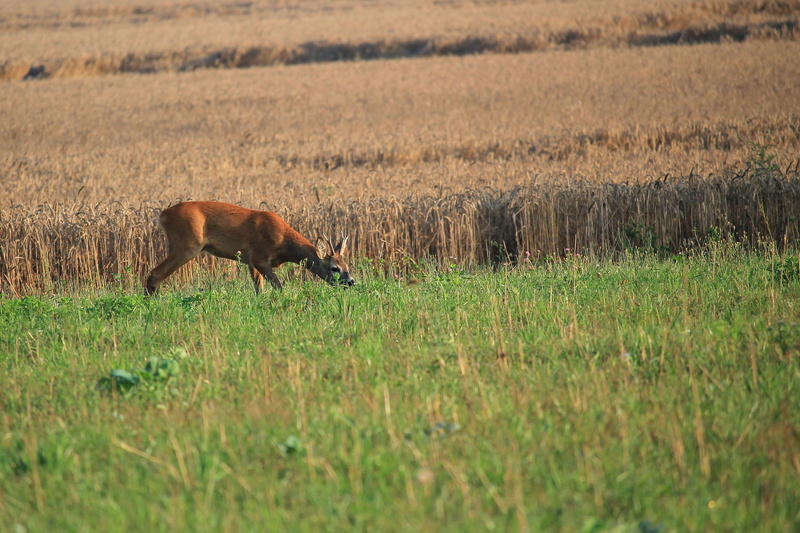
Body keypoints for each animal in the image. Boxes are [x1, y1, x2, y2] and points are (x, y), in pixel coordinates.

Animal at [144, 201, 355, 295]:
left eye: (347, 266)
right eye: (334, 268)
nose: (351, 282)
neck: (284, 244)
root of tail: (162, 216)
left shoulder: (250, 261)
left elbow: (258, 289)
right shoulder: (260, 256)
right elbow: (278, 286)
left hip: (175, 243)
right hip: (188, 244)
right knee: (155, 273)